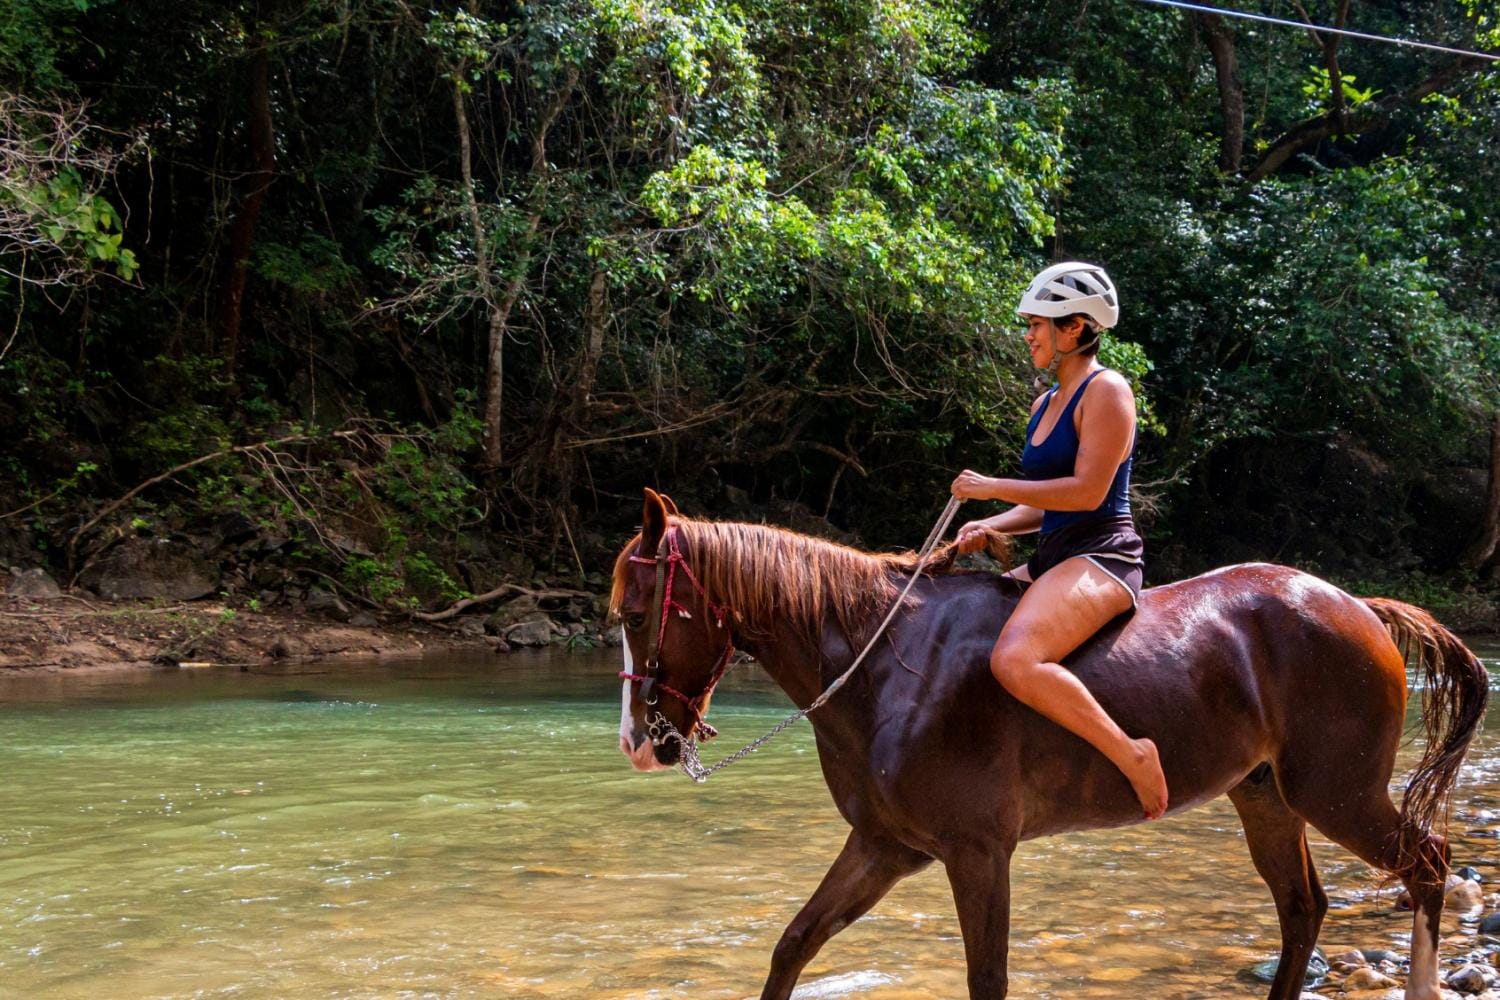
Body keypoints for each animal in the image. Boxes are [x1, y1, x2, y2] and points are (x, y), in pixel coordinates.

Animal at [612, 488, 1488, 1000]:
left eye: (634, 611)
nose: (640, 744)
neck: (886, 664)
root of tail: (1360, 608)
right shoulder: (885, 848)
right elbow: (794, 945)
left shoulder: (976, 852)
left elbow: (987, 976)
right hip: (1268, 798)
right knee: (1304, 908)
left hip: (1339, 795)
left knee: (1428, 866)